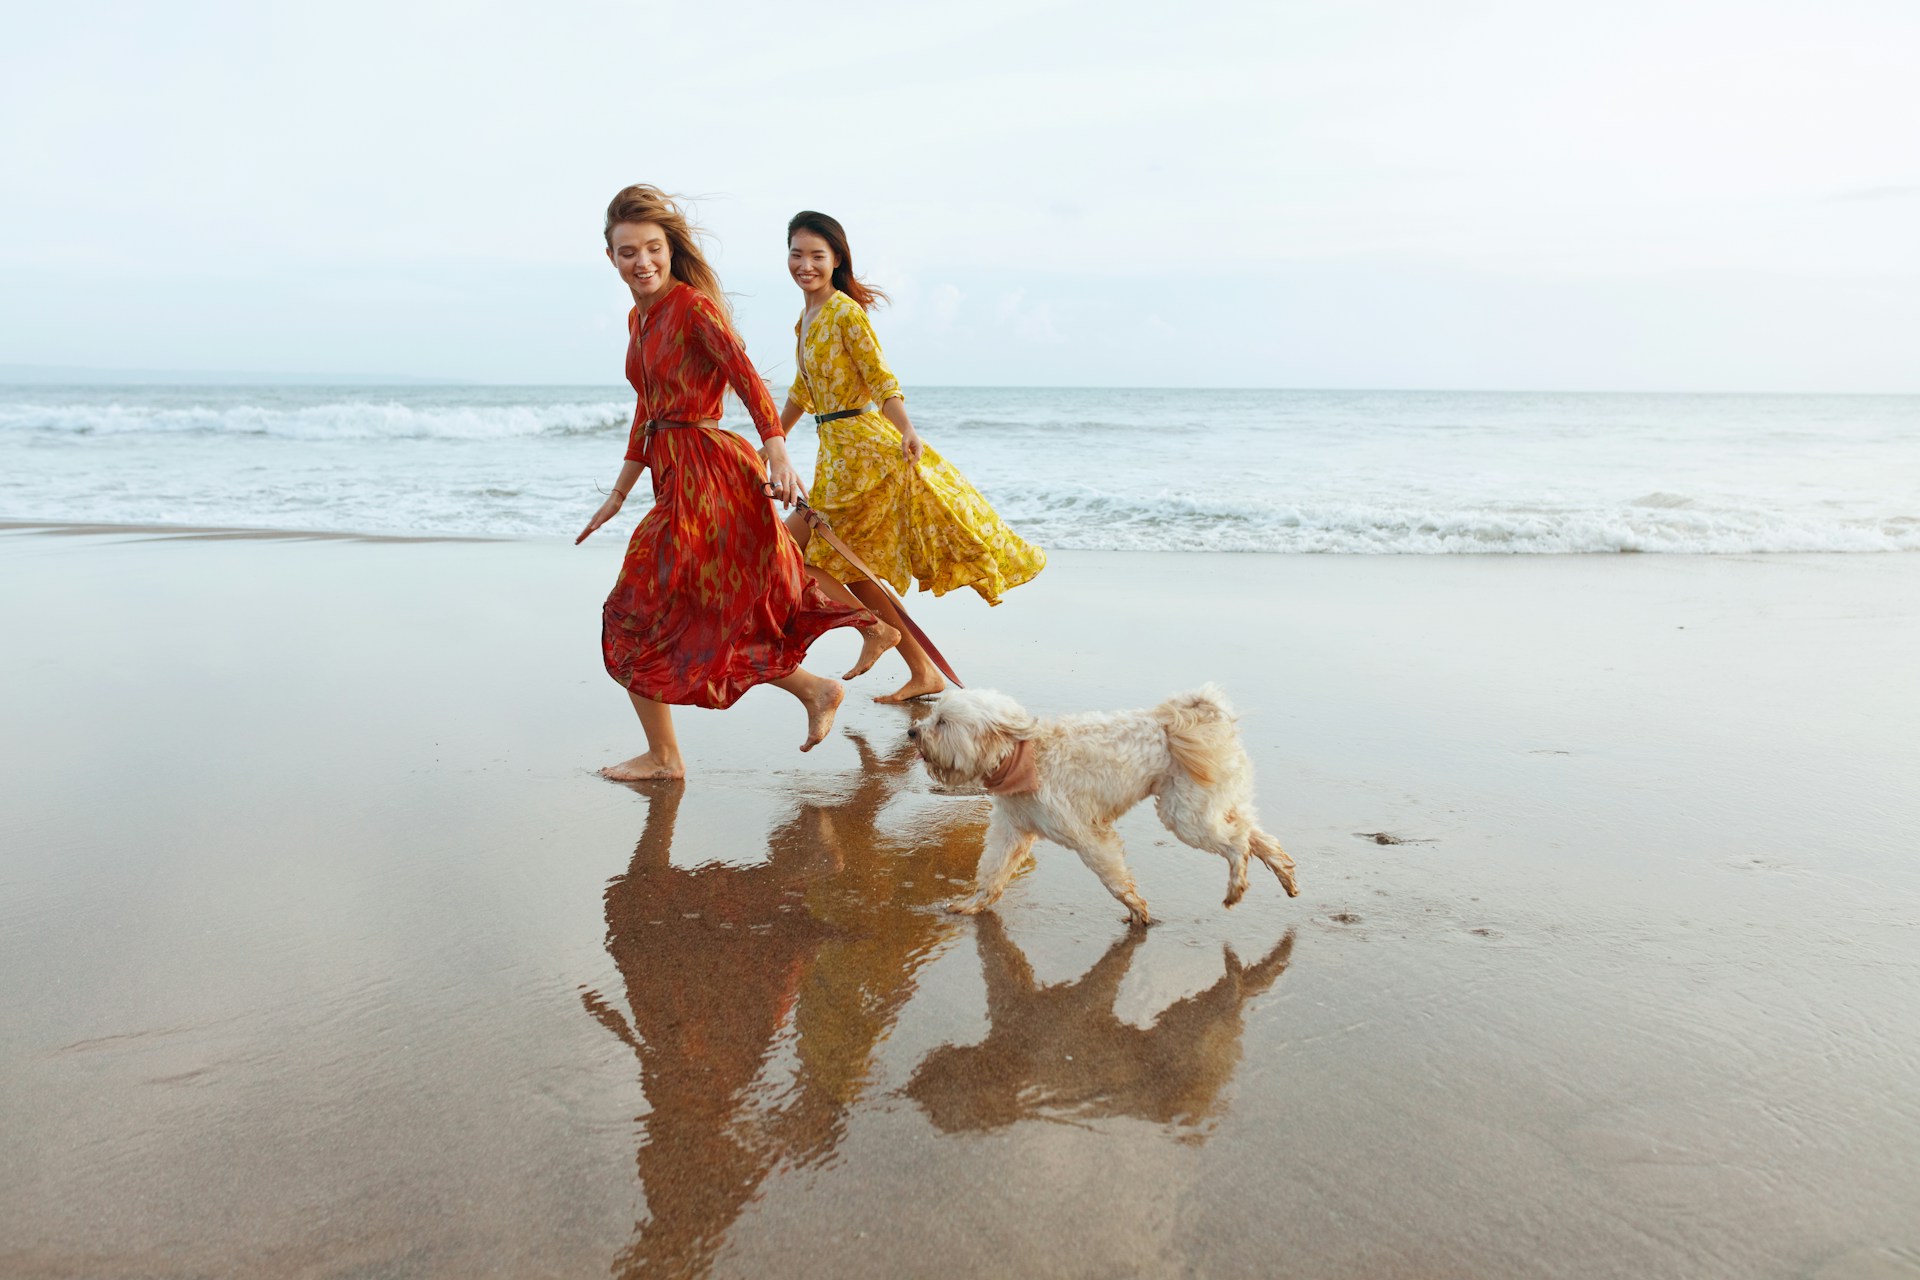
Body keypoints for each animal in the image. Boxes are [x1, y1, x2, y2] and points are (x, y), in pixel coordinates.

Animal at [906, 687, 1297, 924]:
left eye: (942, 722)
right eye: (934, 716)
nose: (912, 732)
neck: (1025, 757)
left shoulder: (1088, 834)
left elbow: (1114, 878)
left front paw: (1137, 910)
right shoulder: (1010, 831)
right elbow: (992, 872)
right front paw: (973, 904)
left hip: (1186, 815)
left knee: (1237, 844)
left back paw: (1236, 888)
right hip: (1211, 805)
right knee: (1256, 837)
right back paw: (1285, 875)